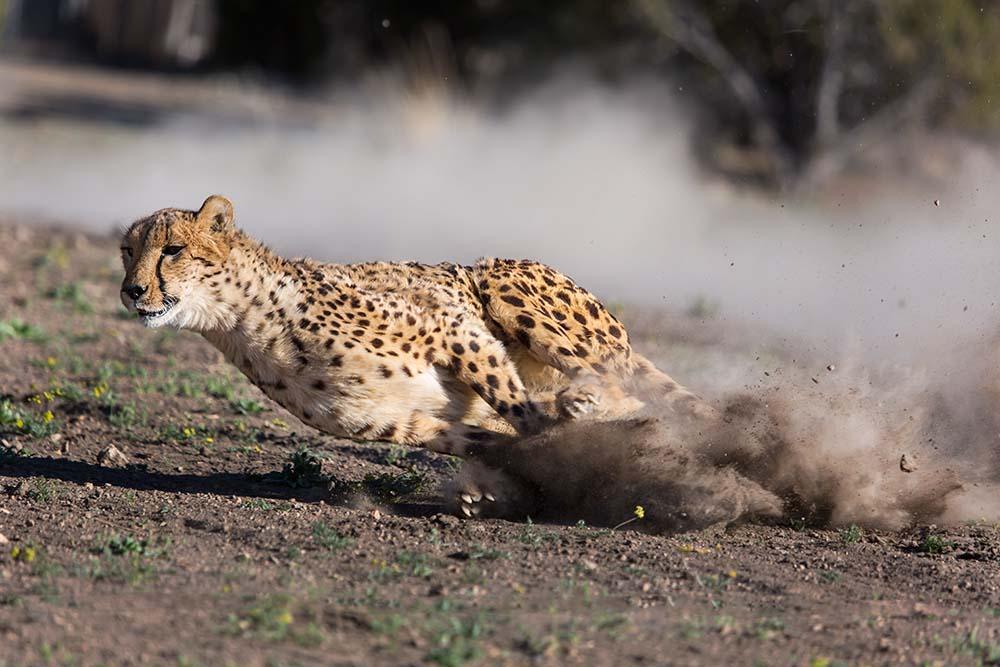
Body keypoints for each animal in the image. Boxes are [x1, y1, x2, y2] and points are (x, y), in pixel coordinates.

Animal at [119, 193, 712, 480]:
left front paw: (560, 436)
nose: (131, 290)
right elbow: (491, 440)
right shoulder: (399, 422)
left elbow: (518, 407)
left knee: (617, 383)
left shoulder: (452, 329)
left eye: (172, 250)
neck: (243, 321)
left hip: (502, 281)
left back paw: (585, 400)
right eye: (128, 251)